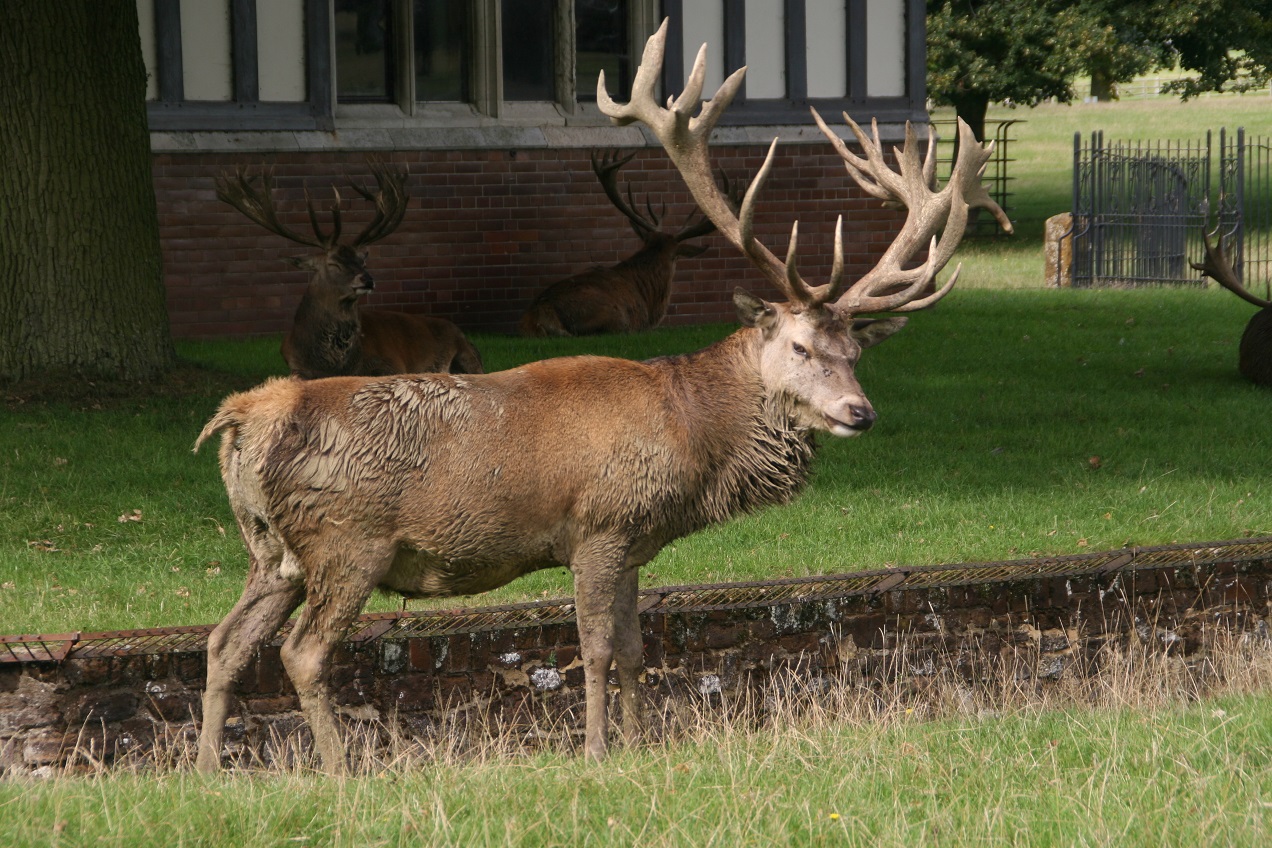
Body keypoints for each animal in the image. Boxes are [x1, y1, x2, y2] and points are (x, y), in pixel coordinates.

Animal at [213, 165, 480, 378]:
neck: (335, 366)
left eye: (362, 261)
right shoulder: (295, 367)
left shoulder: (392, 364)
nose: (368, 280)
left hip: (468, 357)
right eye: (333, 264)